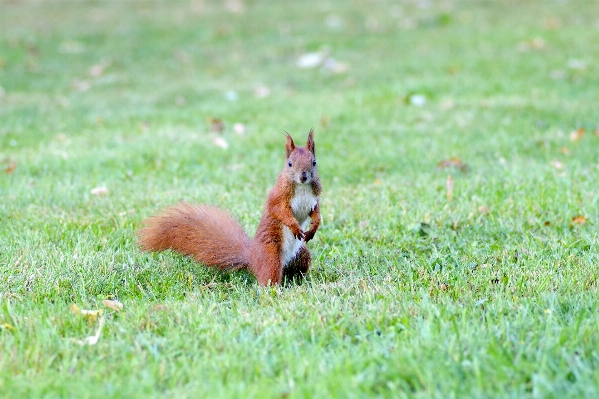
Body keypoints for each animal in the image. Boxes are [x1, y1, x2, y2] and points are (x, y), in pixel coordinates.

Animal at [137, 130, 324, 286]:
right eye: (290, 164)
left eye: (314, 162)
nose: (303, 176)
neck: (302, 187)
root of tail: (252, 257)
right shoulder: (278, 196)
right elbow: (279, 211)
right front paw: (294, 226)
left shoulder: (314, 199)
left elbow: (316, 212)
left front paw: (314, 226)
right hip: (270, 256)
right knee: (268, 278)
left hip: (302, 254)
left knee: (296, 270)